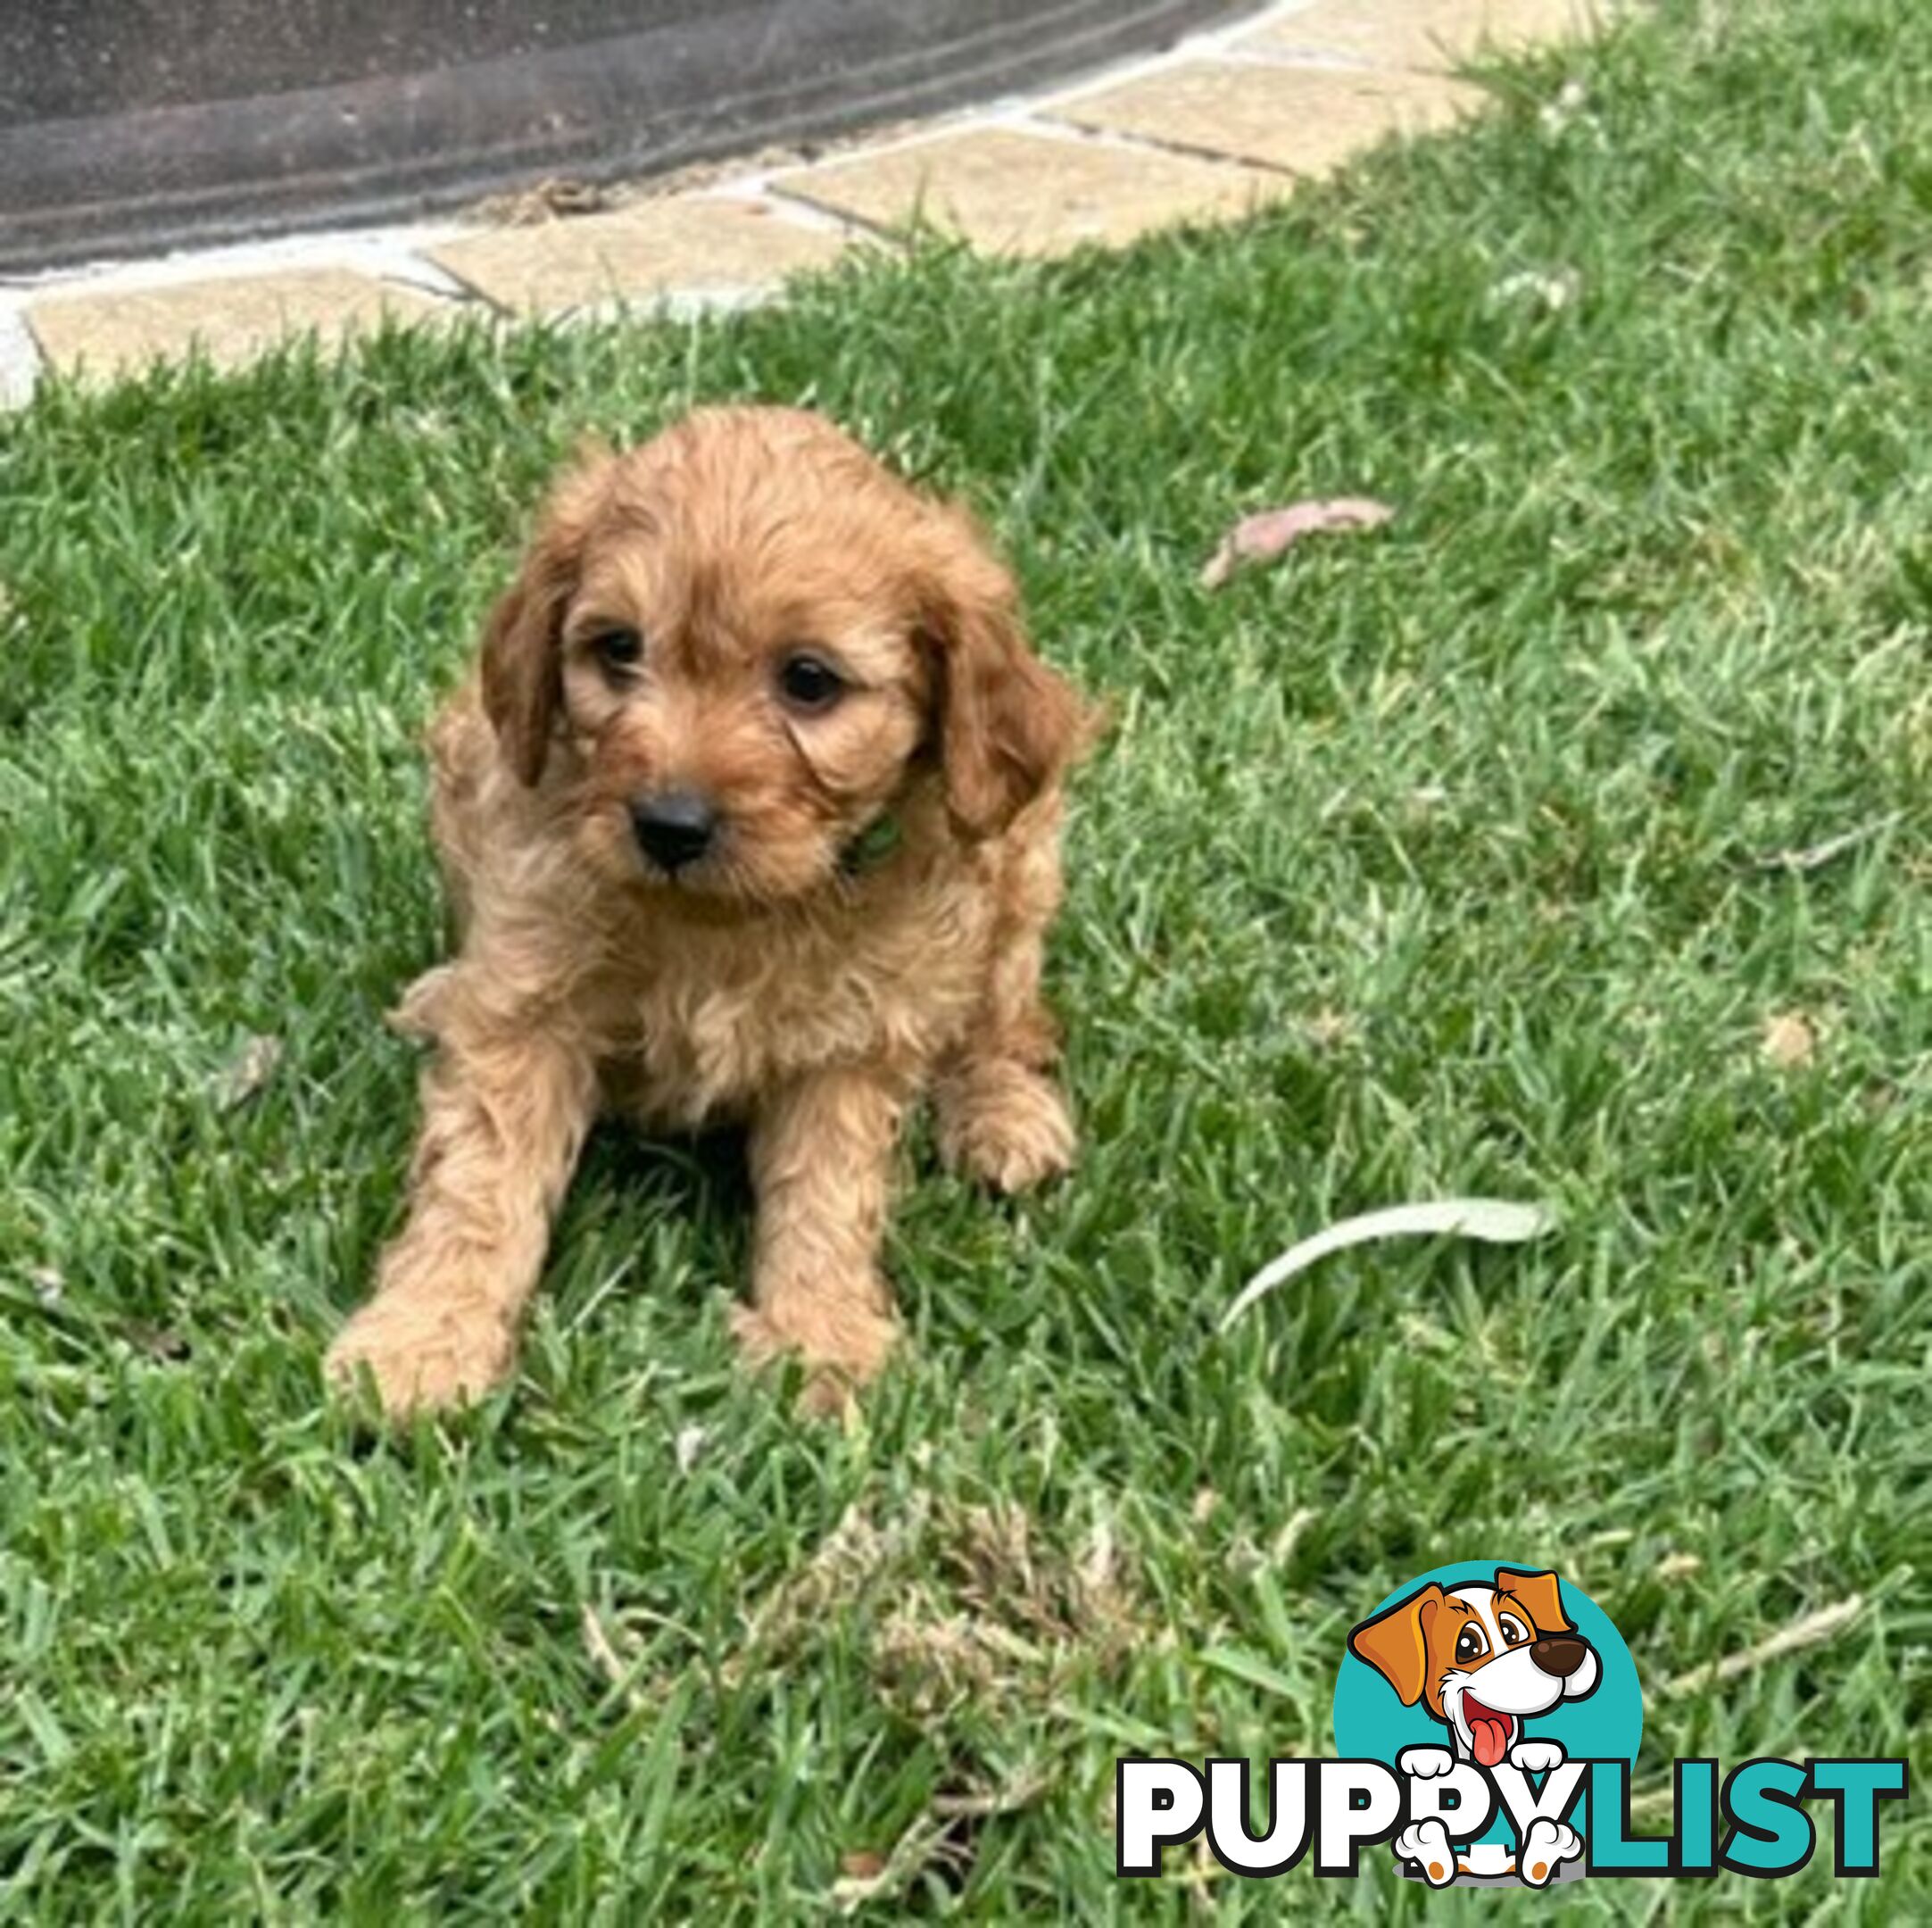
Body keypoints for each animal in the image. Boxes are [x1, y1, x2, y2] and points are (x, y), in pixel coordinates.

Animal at [326, 403, 1097, 1421]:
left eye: (809, 680)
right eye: (618, 648)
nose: (669, 825)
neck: (723, 923)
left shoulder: (853, 1037)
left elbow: (826, 1192)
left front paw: (819, 1338)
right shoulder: (528, 999)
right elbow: (478, 1183)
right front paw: (421, 1340)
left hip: (1019, 859)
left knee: (1002, 1019)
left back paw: (1002, 1117)